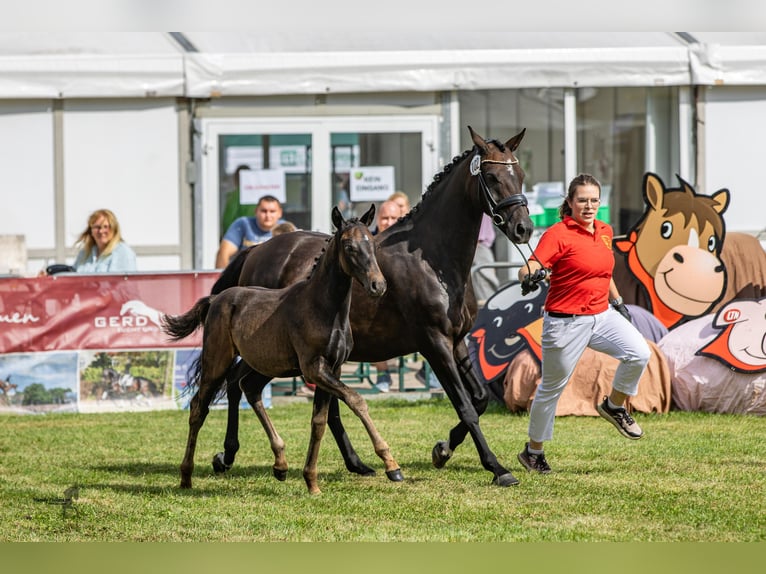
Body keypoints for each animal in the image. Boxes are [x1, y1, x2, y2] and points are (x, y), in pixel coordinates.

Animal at [164, 207, 400, 496]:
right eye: (349, 246)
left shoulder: (332, 369)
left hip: (264, 363)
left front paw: (311, 482)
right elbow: (356, 400)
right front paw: (391, 465)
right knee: (199, 406)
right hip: (217, 361)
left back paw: (280, 463)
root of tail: (217, 299)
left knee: (248, 387)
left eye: (372, 245)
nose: (378, 285)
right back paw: (186, 476)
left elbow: (319, 422)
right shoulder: (314, 369)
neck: (322, 307)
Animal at [213, 125, 532, 486]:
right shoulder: (434, 344)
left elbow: (478, 401)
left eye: (520, 175)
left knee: (286, 395)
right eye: (491, 176)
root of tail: (257, 250)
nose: (523, 228)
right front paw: (497, 468)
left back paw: (354, 463)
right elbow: (465, 406)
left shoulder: (457, 341)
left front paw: (442, 450)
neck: (433, 260)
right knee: (237, 382)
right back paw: (228, 454)